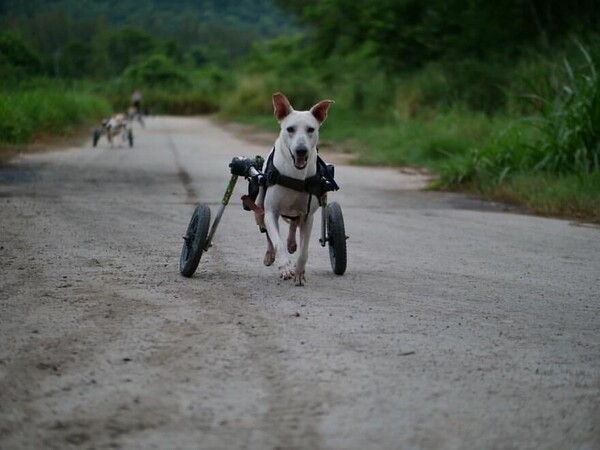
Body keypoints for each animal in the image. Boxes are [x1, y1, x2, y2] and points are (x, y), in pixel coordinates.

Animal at [254, 93, 336, 286]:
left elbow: (304, 251)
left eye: (311, 129)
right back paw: (270, 255)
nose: (301, 150)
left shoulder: (308, 216)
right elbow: (277, 240)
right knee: (266, 231)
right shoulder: (271, 211)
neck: (295, 175)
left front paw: (299, 272)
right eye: (290, 129)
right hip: (259, 208)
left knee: (294, 224)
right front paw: (285, 267)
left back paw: (292, 242)